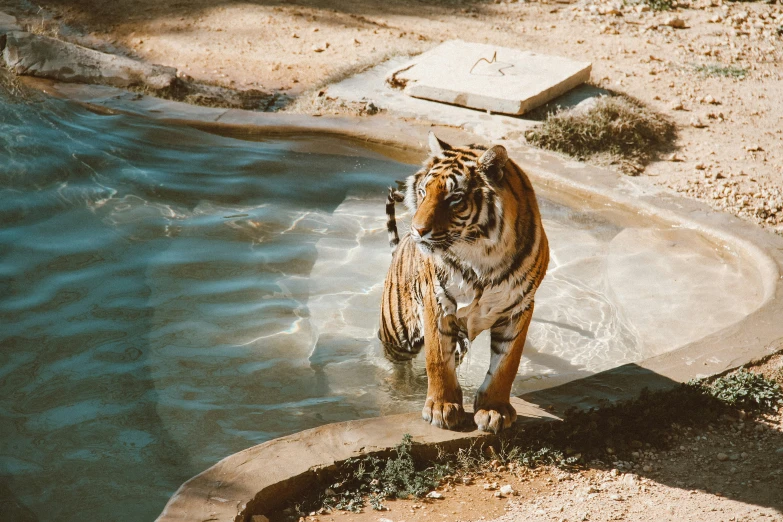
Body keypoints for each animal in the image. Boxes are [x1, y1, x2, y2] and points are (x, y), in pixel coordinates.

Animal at [380, 132, 552, 432]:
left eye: (455, 198)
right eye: (423, 192)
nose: (416, 230)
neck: (482, 256)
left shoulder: (519, 308)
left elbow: (506, 365)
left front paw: (494, 410)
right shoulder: (437, 302)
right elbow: (437, 360)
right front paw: (441, 408)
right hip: (398, 333)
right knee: (395, 365)